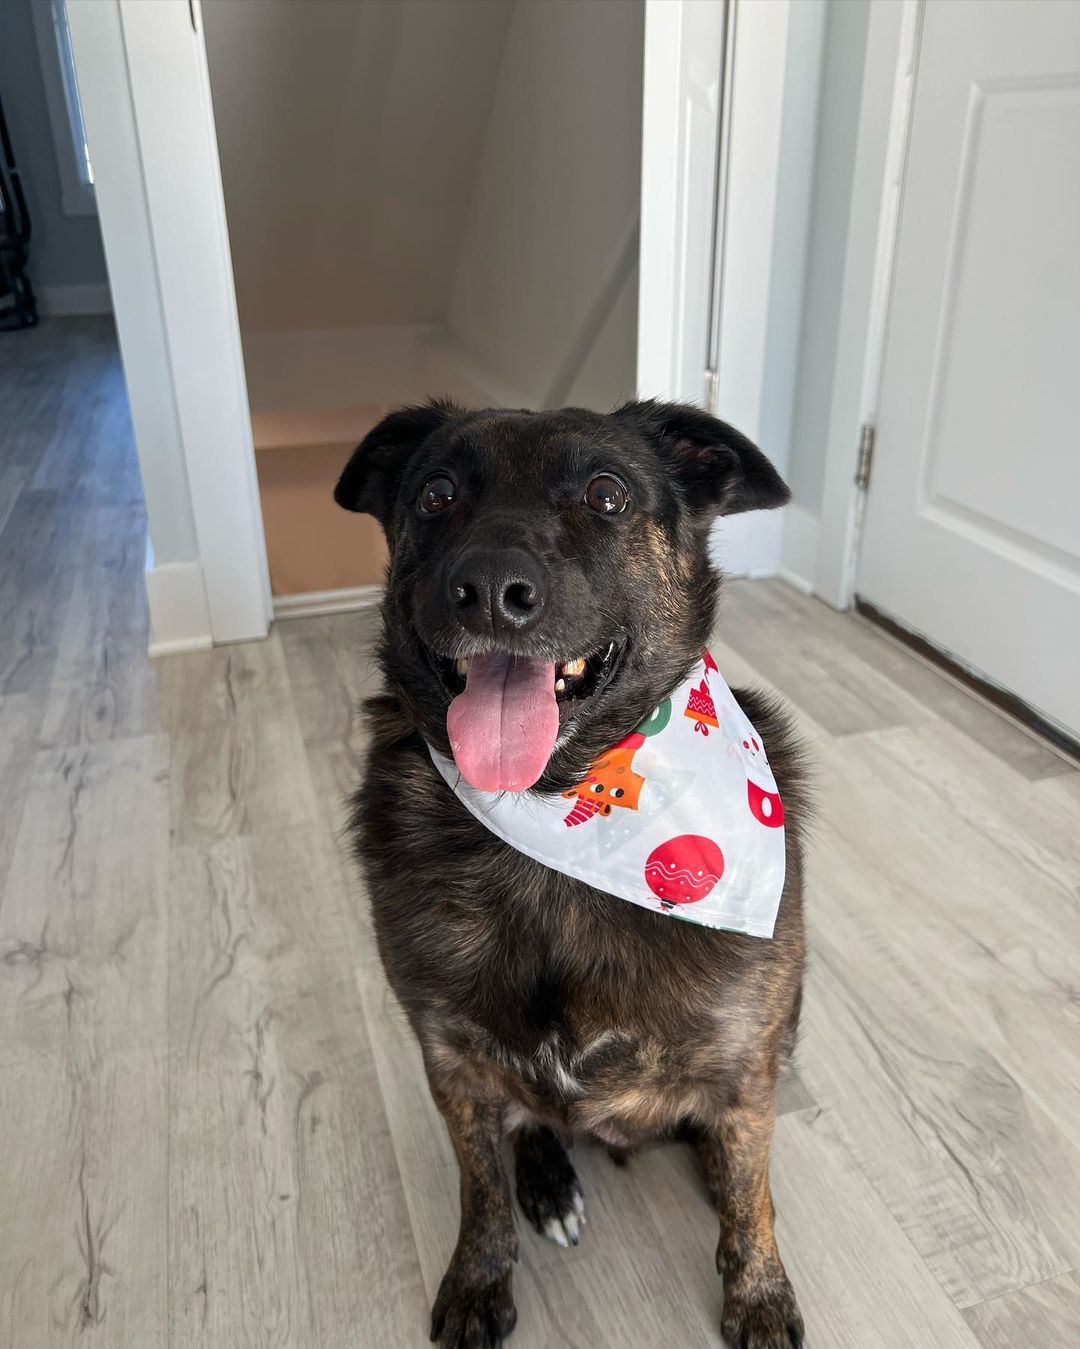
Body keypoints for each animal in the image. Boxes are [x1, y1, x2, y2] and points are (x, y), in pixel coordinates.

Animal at [333, 393, 803, 1343]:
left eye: (607, 493)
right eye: (436, 493)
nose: (488, 591)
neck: (553, 830)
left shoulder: (746, 1056)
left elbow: (753, 1191)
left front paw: (761, 1293)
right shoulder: (453, 1060)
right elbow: (480, 1187)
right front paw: (479, 1279)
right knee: (529, 1125)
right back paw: (547, 1178)